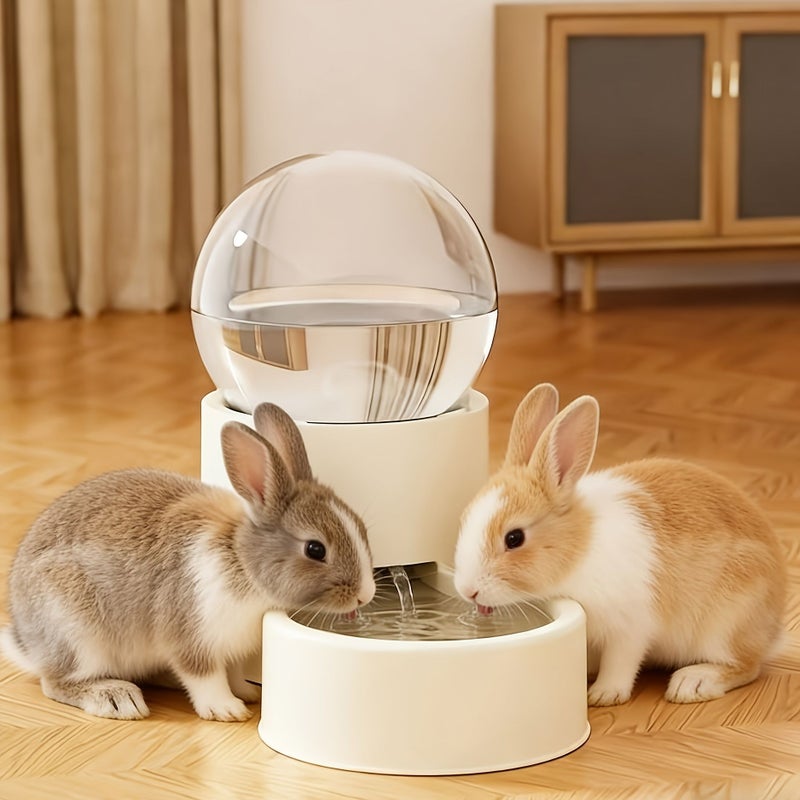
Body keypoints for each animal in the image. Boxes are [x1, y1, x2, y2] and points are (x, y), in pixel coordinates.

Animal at [1, 402, 375, 721]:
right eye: (315, 549)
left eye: (360, 524)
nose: (365, 594)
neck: (242, 561)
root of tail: (27, 642)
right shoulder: (192, 638)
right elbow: (204, 677)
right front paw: (228, 710)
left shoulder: (230, 649)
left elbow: (231, 674)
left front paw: (246, 694)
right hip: (76, 633)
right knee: (56, 682)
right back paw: (117, 698)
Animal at [453, 383, 786, 706]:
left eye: (514, 538)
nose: (468, 591)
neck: (579, 546)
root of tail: (776, 623)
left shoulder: (629, 627)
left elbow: (621, 663)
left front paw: (604, 695)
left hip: (726, 623)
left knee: (746, 666)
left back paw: (692, 683)